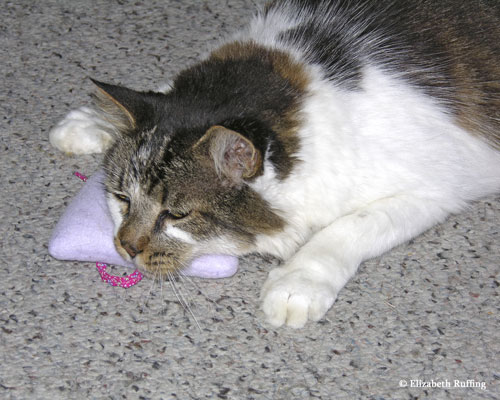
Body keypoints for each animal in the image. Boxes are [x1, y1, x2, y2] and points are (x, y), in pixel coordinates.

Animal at [47, 0, 500, 328]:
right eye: (122, 198)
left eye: (175, 215)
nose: (124, 247)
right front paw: (90, 122)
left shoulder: (436, 188)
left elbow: (348, 227)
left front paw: (296, 284)